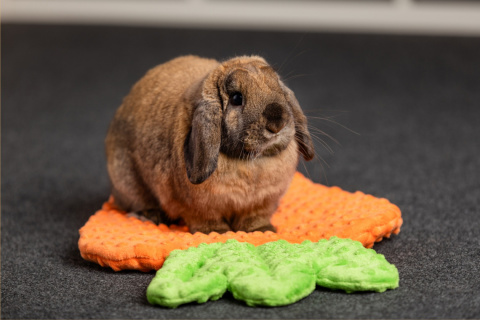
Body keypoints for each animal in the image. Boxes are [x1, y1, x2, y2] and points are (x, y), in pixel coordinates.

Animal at [104, 55, 314, 234]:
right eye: (237, 98)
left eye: (279, 90)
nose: (277, 123)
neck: (251, 163)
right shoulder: (198, 207)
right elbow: (207, 220)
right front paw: (217, 232)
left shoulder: (262, 204)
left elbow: (255, 218)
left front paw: (262, 231)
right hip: (128, 181)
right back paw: (148, 216)